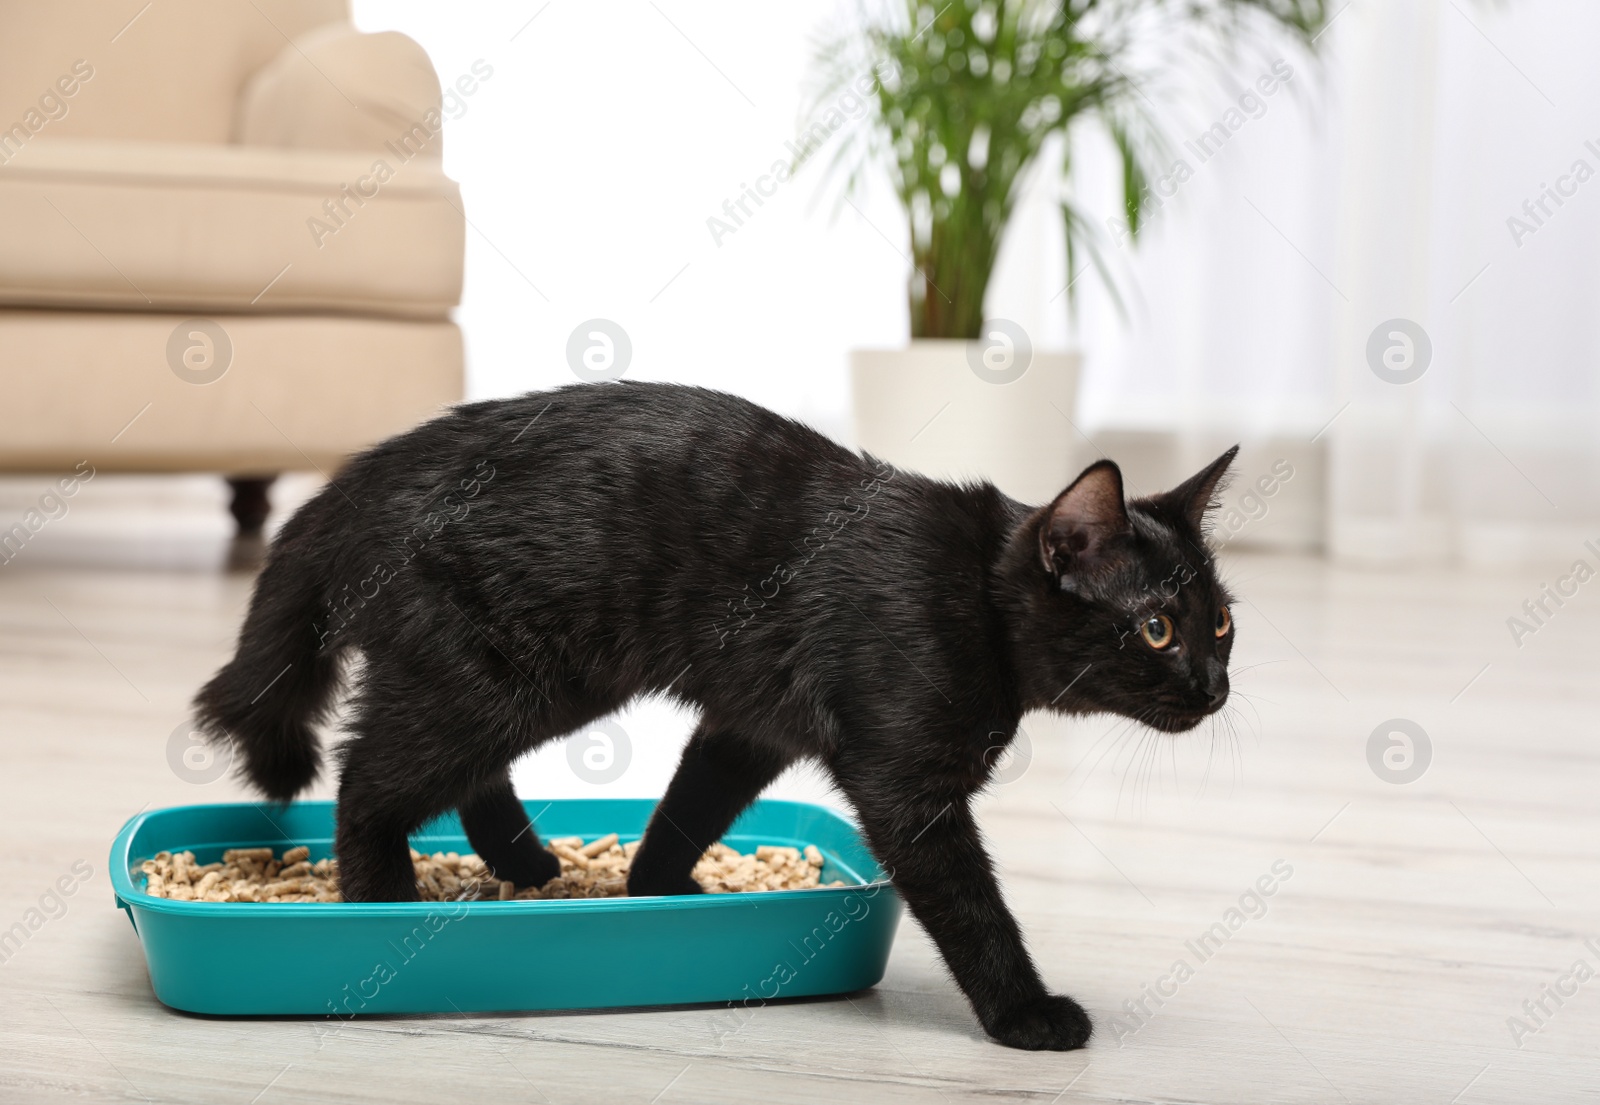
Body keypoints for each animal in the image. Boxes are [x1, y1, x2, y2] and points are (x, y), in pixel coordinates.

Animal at [196, 385, 1235, 1049]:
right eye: (1156, 628)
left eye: (1222, 622)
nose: (1215, 685)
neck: (976, 595)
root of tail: (348, 486)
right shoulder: (909, 792)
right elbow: (976, 909)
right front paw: (1026, 1014)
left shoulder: (749, 727)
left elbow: (686, 808)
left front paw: (656, 889)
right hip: (503, 681)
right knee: (368, 781)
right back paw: (385, 905)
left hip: (498, 685)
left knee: (450, 775)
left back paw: (528, 865)